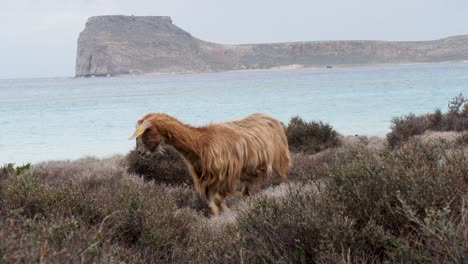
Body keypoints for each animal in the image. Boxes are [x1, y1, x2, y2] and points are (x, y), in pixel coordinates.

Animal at [128, 112, 288, 216]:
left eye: (146, 131)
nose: (140, 152)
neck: (201, 143)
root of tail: (273, 120)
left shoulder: (224, 178)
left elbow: (217, 202)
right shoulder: (207, 180)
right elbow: (214, 204)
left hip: (277, 161)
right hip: (250, 172)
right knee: (247, 191)